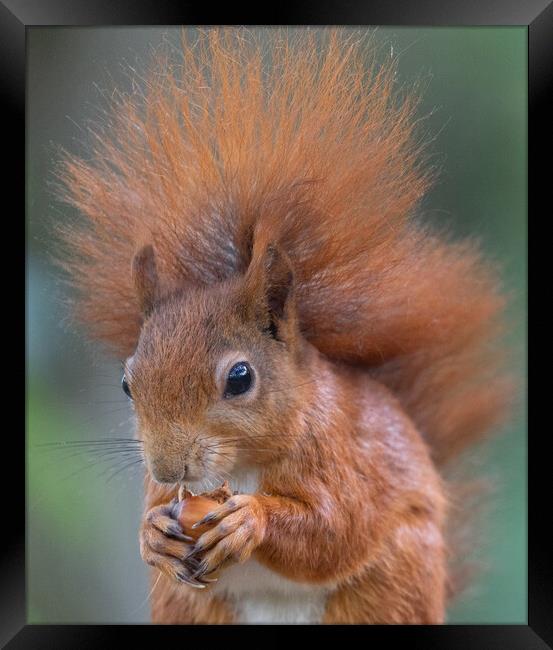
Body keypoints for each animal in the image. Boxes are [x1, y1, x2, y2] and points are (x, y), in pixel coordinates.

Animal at [55, 29, 508, 624]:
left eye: (240, 378)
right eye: (127, 384)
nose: (169, 467)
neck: (243, 465)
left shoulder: (343, 457)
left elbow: (335, 528)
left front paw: (251, 519)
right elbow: (155, 517)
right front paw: (152, 534)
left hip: (391, 585)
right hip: (188, 605)